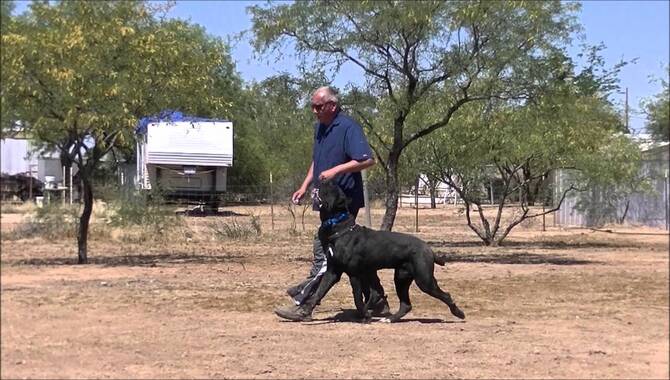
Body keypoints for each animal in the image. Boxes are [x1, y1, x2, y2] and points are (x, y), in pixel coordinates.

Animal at [302, 180, 464, 322]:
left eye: (332, 187)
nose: (324, 178)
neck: (338, 226)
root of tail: (428, 248)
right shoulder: (332, 272)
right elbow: (318, 293)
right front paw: (305, 311)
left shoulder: (354, 274)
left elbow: (357, 298)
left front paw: (365, 315)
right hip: (401, 278)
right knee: (405, 305)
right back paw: (389, 319)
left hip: (424, 279)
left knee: (446, 295)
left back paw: (458, 313)